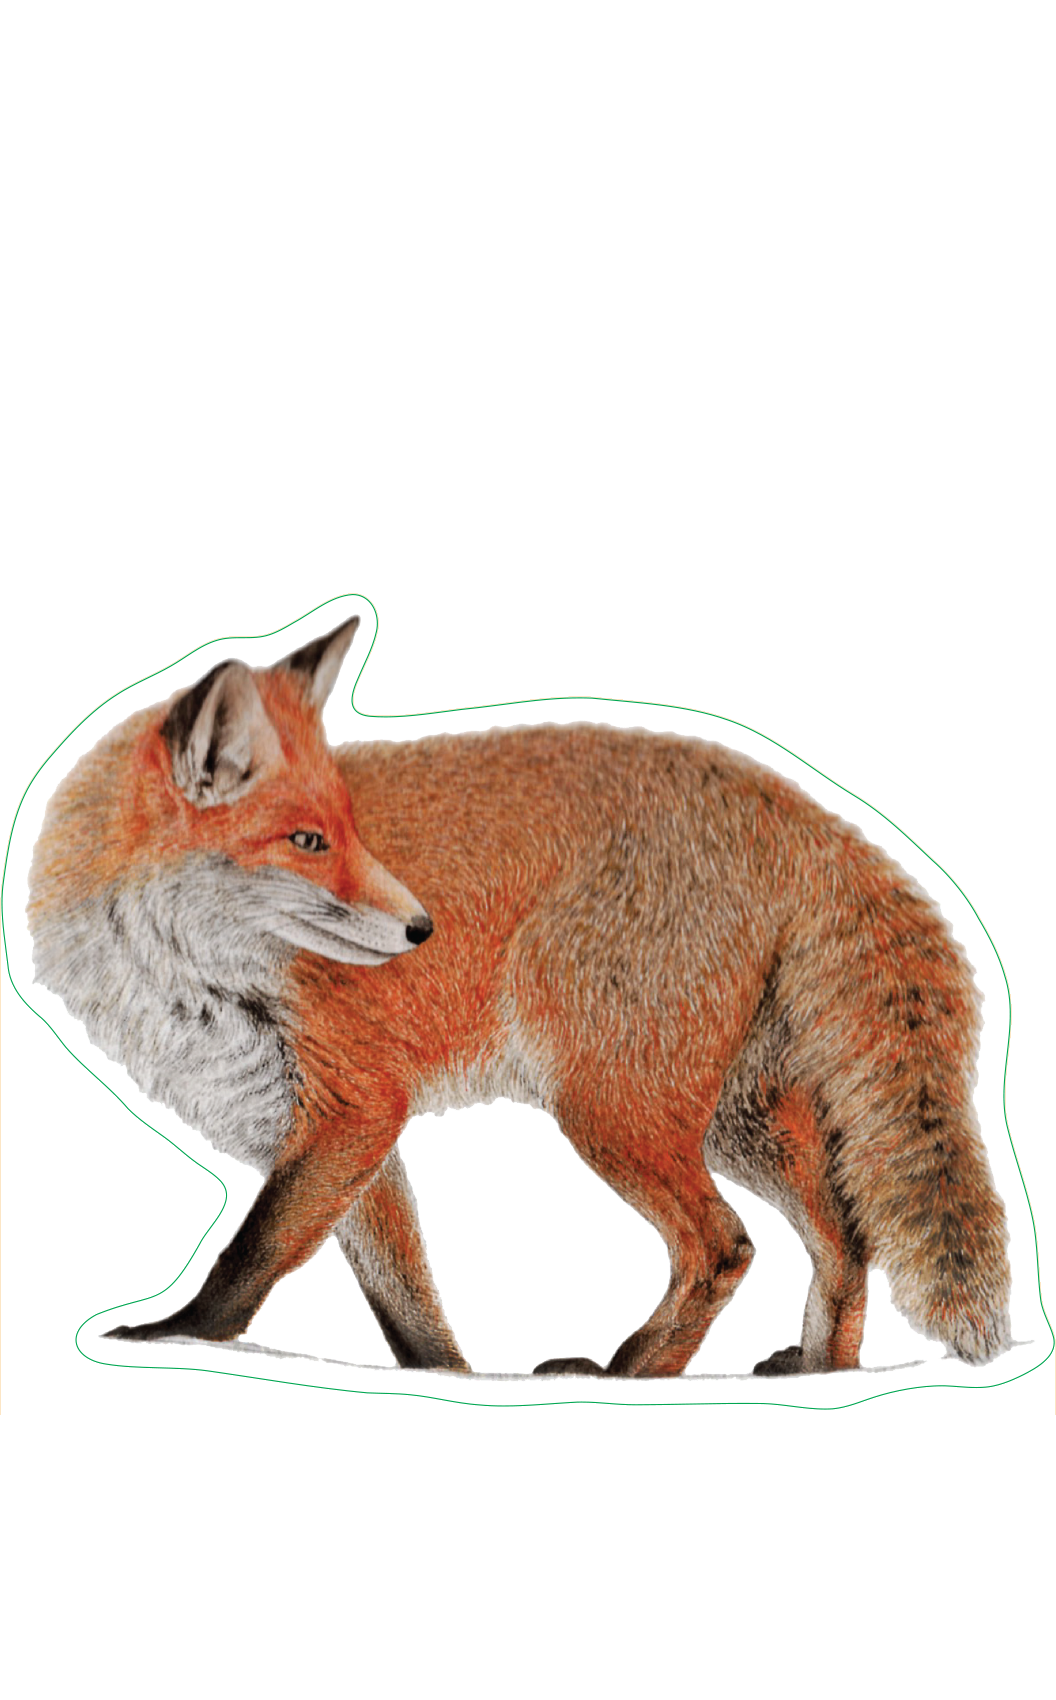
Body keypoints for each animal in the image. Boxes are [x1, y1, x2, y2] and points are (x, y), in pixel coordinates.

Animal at [27, 614, 1012, 1377]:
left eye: (348, 832)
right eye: (308, 840)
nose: (421, 929)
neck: (184, 972)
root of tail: (806, 810)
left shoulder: (356, 1102)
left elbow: (254, 1251)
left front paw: (178, 1336)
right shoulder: (340, 1135)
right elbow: (406, 1298)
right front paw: (449, 1378)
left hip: (609, 1106)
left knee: (726, 1246)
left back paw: (631, 1375)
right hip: (736, 1119)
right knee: (847, 1238)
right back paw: (821, 1369)